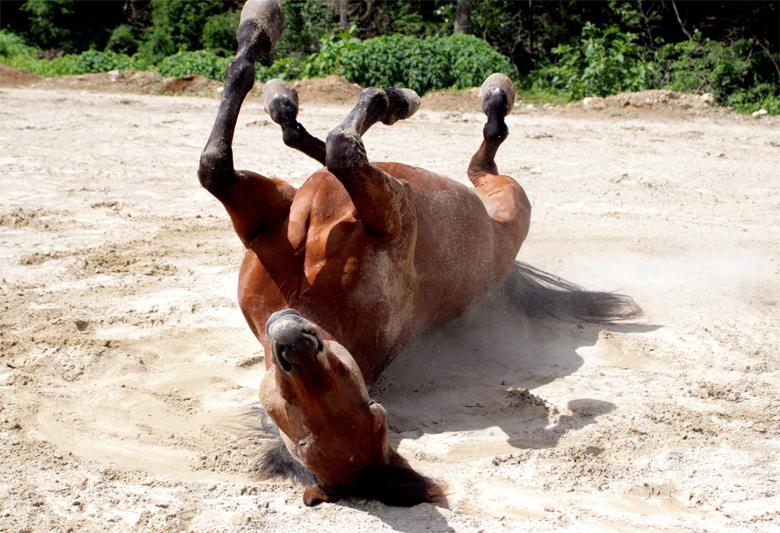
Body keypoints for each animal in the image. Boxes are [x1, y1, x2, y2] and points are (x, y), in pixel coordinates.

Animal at [198, 0, 639, 507]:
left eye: (367, 403)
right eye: (292, 416)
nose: (293, 340)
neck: (312, 294)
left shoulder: (327, 210)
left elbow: (296, 151)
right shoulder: (274, 213)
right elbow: (238, 160)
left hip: (505, 198)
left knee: (449, 154)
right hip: (507, 199)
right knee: (478, 158)